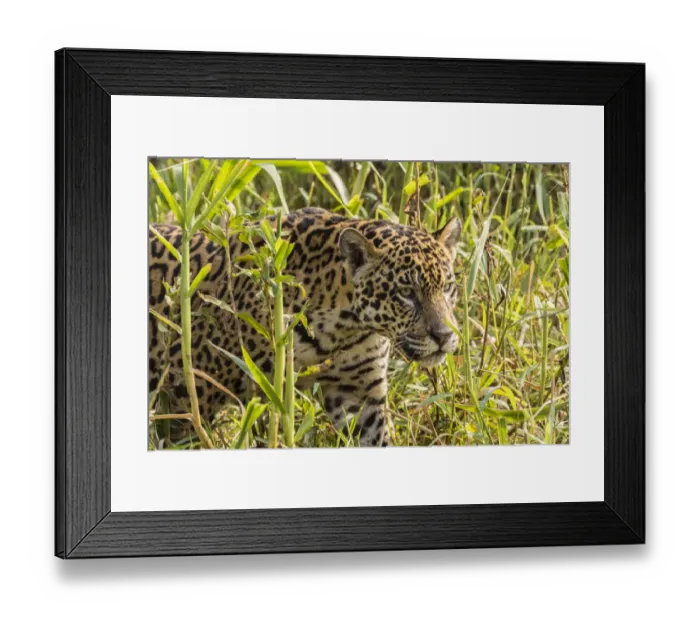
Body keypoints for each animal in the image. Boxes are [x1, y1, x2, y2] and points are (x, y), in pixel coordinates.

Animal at [149, 207, 462, 447]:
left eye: (448, 288)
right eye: (406, 293)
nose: (444, 336)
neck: (344, 328)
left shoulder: (358, 391)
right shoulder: (187, 390)